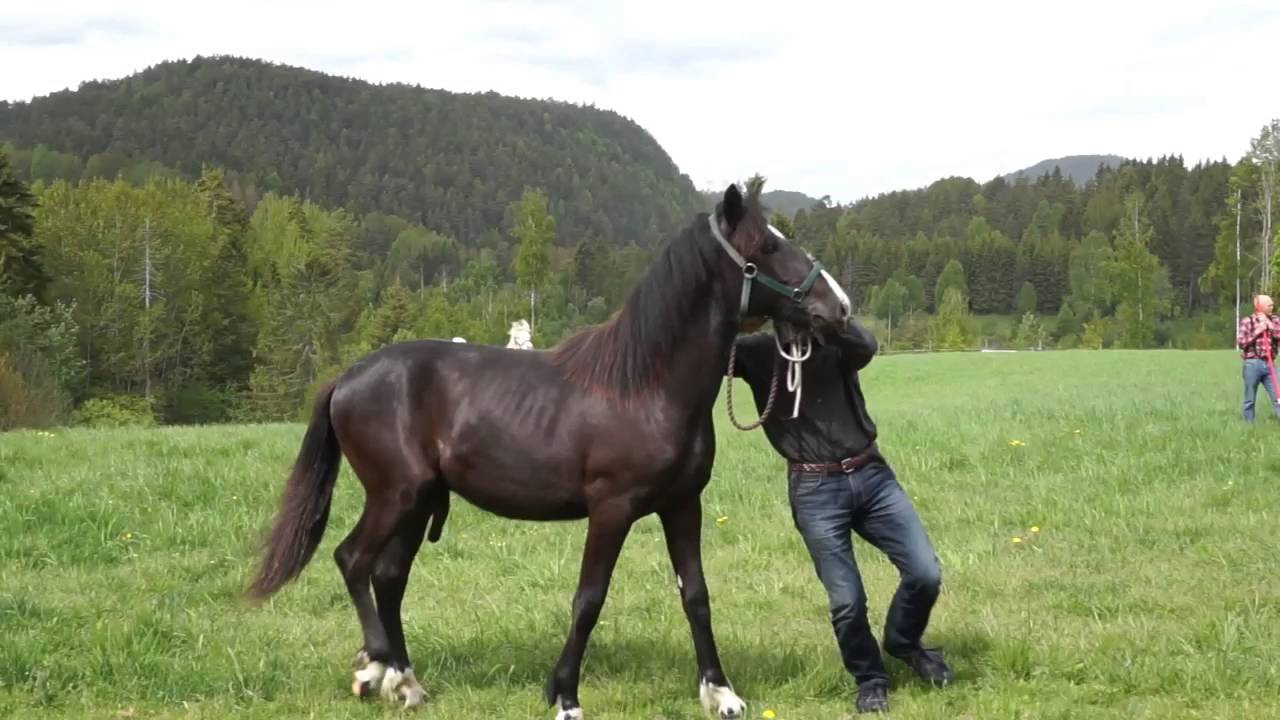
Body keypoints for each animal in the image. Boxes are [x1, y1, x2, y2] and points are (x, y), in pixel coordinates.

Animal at [244, 180, 851, 719]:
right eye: (766, 247)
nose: (839, 307)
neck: (644, 387)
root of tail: (347, 378)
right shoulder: (611, 510)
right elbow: (589, 599)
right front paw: (565, 695)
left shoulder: (683, 506)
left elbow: (695, 596)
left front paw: (720, 694)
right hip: (396, 495)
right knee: (354, 561)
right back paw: (379, 670)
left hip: (417, 502)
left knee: (389, 576)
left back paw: (403, 680)